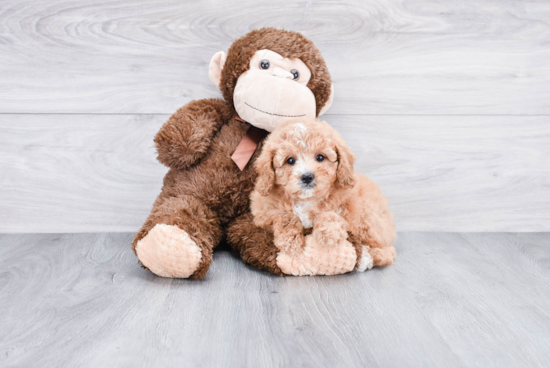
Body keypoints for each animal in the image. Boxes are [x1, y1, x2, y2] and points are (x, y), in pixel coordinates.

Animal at [252, 119, 398, 272]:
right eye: (290, 160)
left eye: (320, 157)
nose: (307, 177)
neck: (306, 200)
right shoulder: (263, 215)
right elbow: (285, 217)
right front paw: (290, 243)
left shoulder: (348, 209)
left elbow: (331, 214)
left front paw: (329, 234)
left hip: (369, 220)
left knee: (387, 248)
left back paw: (370, 256)